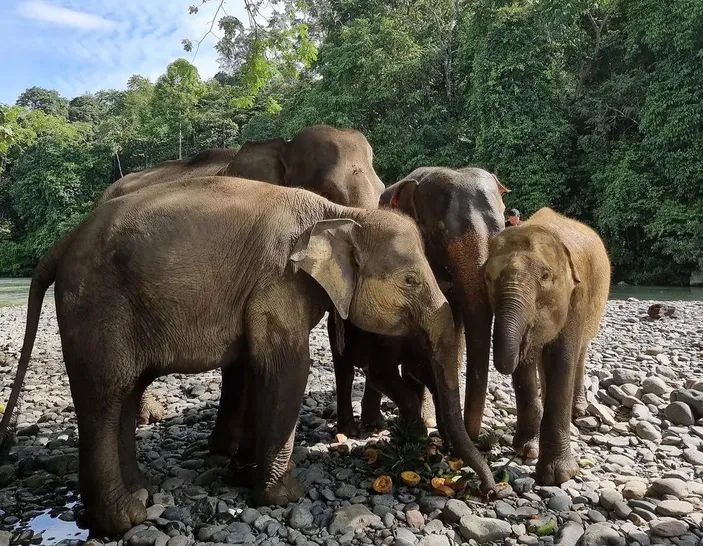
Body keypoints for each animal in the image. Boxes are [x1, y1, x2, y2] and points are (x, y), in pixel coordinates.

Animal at [484, 206, 612, 482]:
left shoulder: (577, 295)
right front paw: (525, 450)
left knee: (580, 352)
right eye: (487, 278)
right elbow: (527, 365)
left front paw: (558, 476)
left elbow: (562, 359)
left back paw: (579, 411)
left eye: (545, 276)